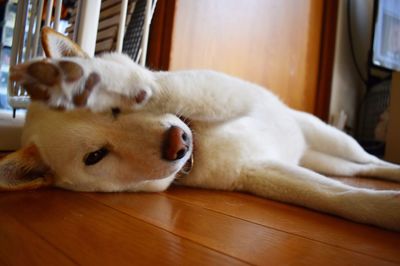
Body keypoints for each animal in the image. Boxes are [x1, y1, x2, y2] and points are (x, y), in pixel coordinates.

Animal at [2, 27, 400, 231]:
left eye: (114, 109)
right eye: (96, 156)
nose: (178, 142)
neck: (202, 143)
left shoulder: (221, 89)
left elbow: (162, 85)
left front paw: (97, 77)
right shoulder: (261, 171)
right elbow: (340, 197)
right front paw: (386, 210)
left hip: (333, 139)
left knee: (370, 161)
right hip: (327, 160)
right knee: (360, 170)